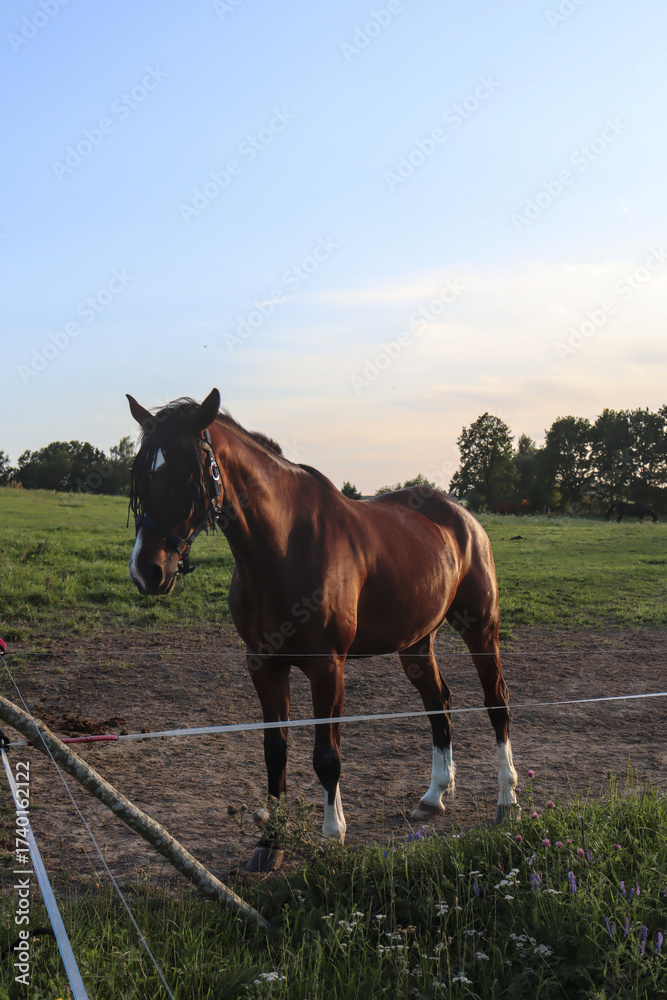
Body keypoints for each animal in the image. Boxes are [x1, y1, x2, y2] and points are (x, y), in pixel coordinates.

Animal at [126, 390, 519, 871]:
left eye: (188, 474)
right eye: (141, 474)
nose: (147, 571)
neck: (284, 546)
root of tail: (463, 517)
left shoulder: (327, 667)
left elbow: (326, 757)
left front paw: (332, 838)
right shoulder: (264, 665)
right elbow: (275, 752)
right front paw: (269, 844)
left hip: (480, 628)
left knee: (496, 703)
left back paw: (507, 799)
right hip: (416, 644)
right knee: (438, 704)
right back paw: (434, 796)